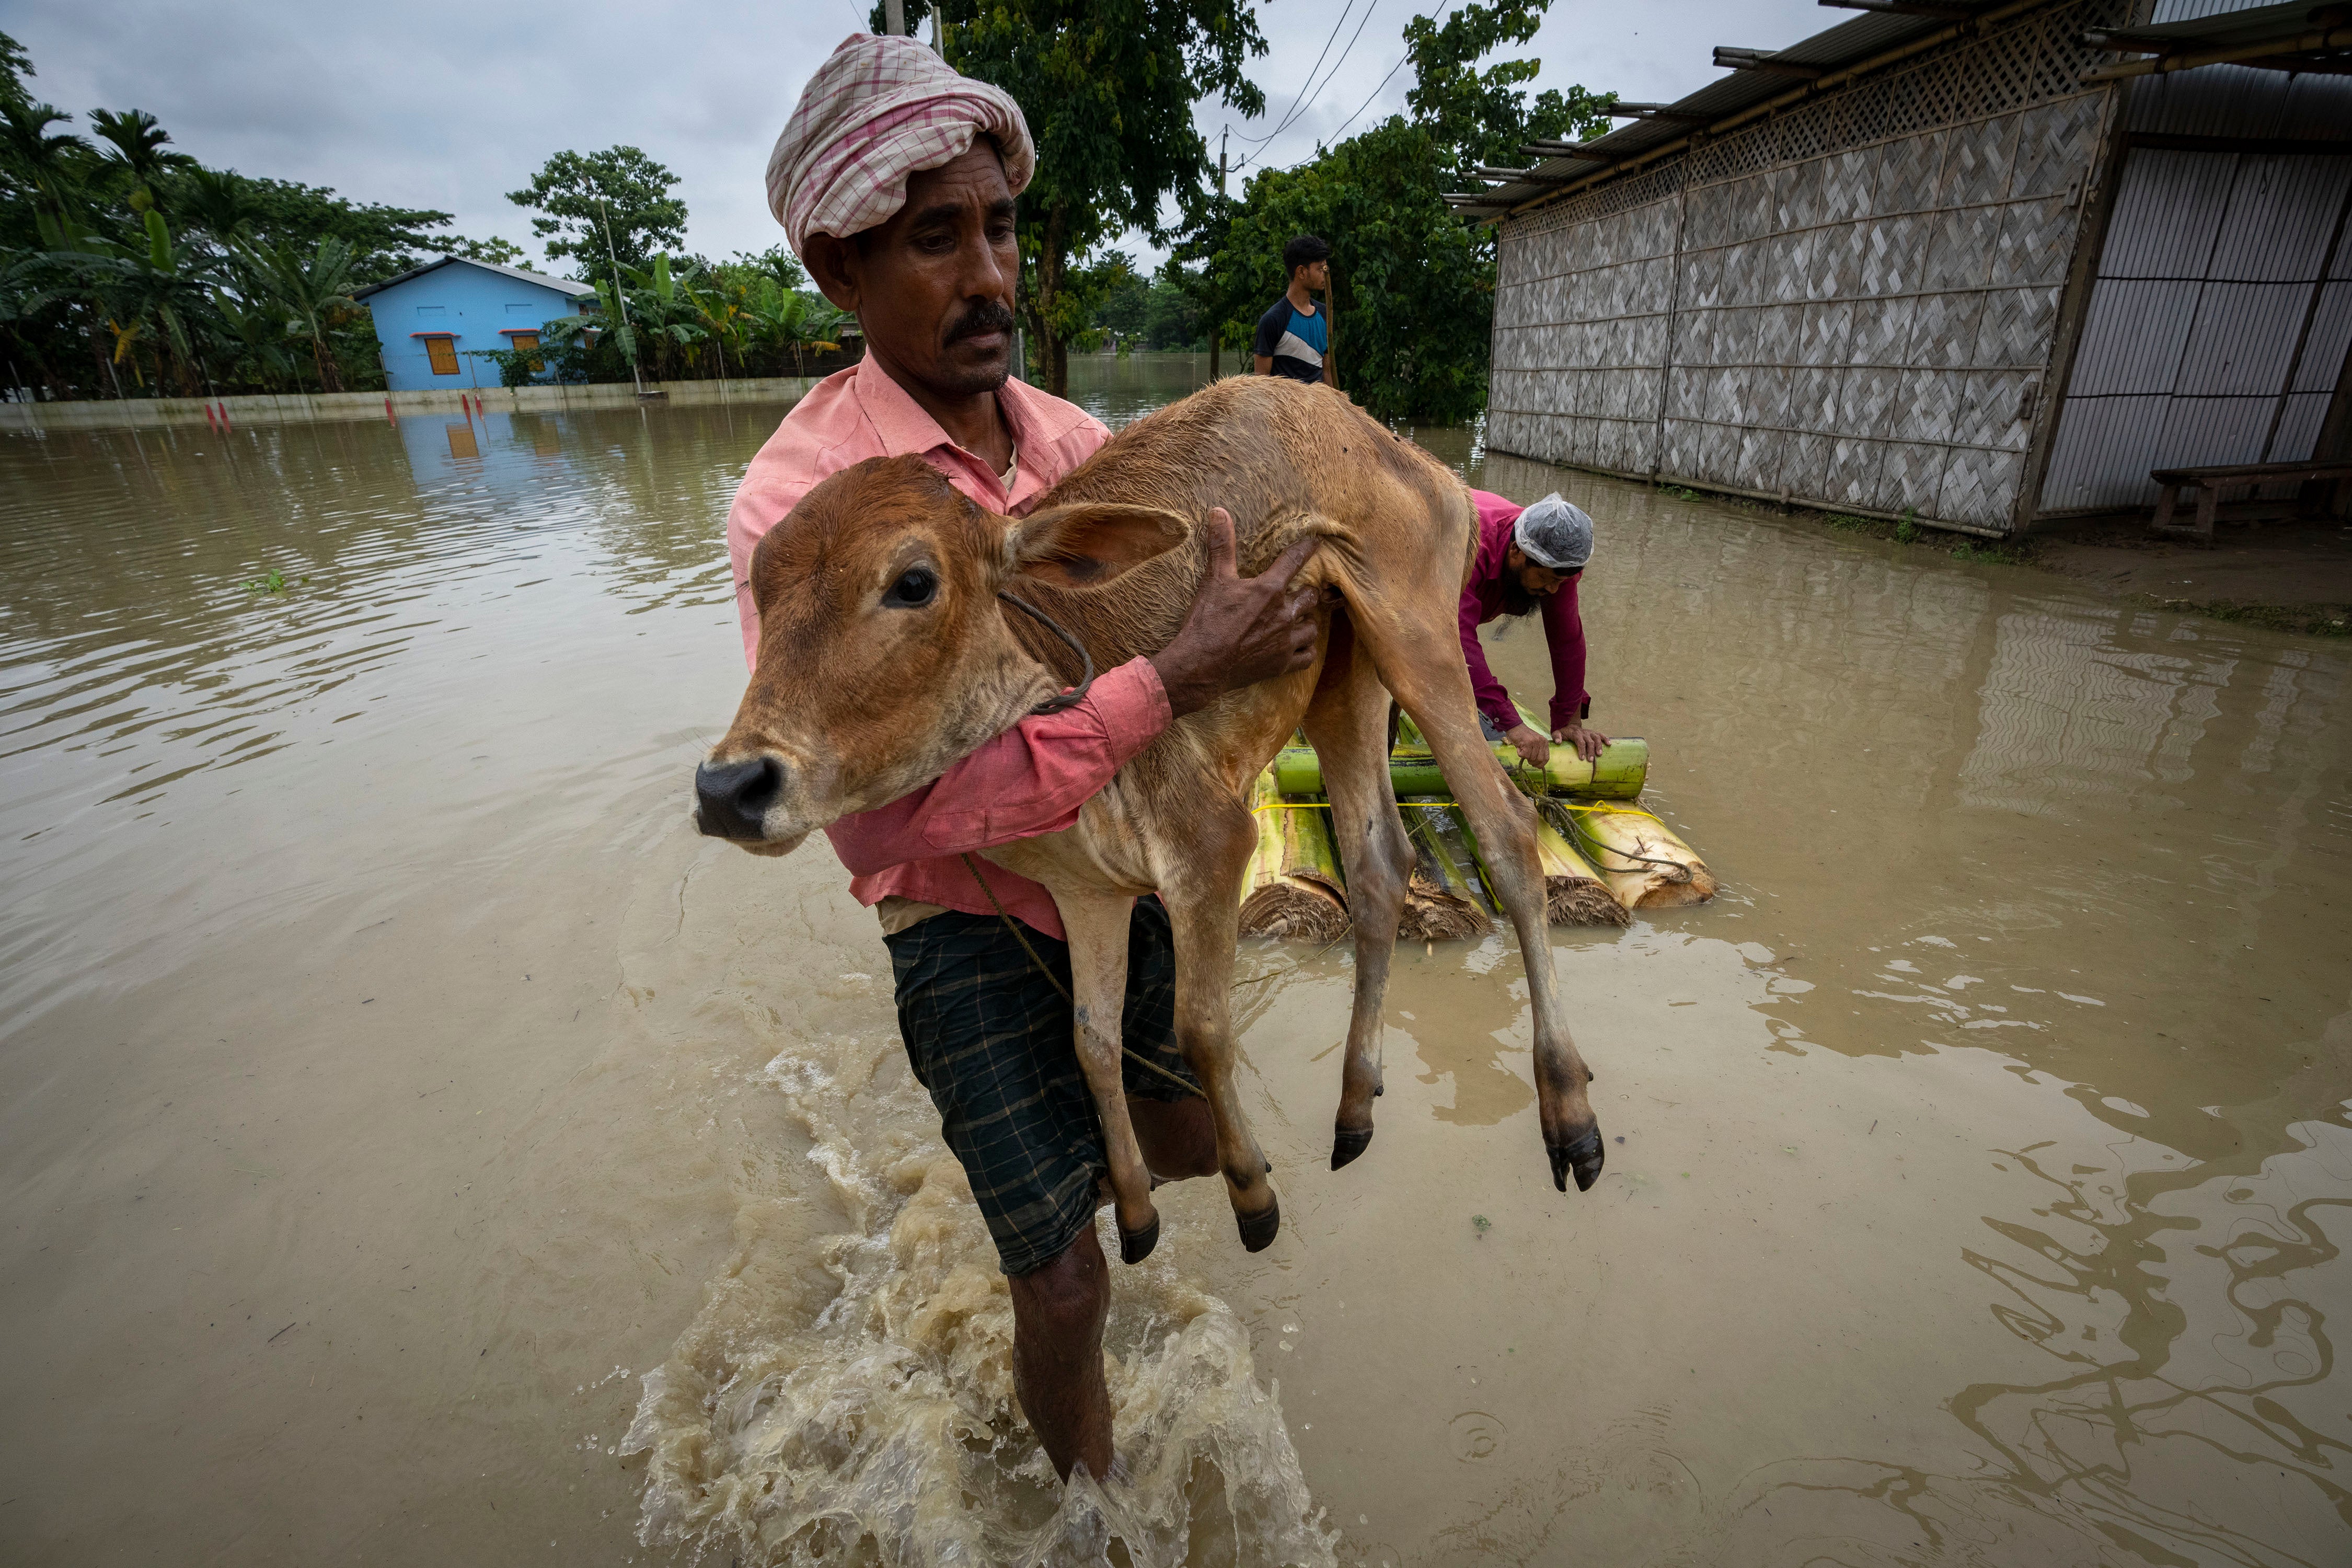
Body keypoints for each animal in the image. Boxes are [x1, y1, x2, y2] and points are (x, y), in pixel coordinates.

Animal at [696, 381, 1609, 1260]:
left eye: (913, 583)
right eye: (761, 588)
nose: (730, 786)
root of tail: (1404, 451)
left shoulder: (1212, 845)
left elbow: (1199, 1028)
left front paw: (1252, 1191)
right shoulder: (1086, 897)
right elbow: (1093, 1045)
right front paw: (1135, 1209)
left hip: (1413, 635)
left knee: (1509, 832)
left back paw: (1570, 1114)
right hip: (1342, 681)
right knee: (1380, 865)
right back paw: (1356, 1108)